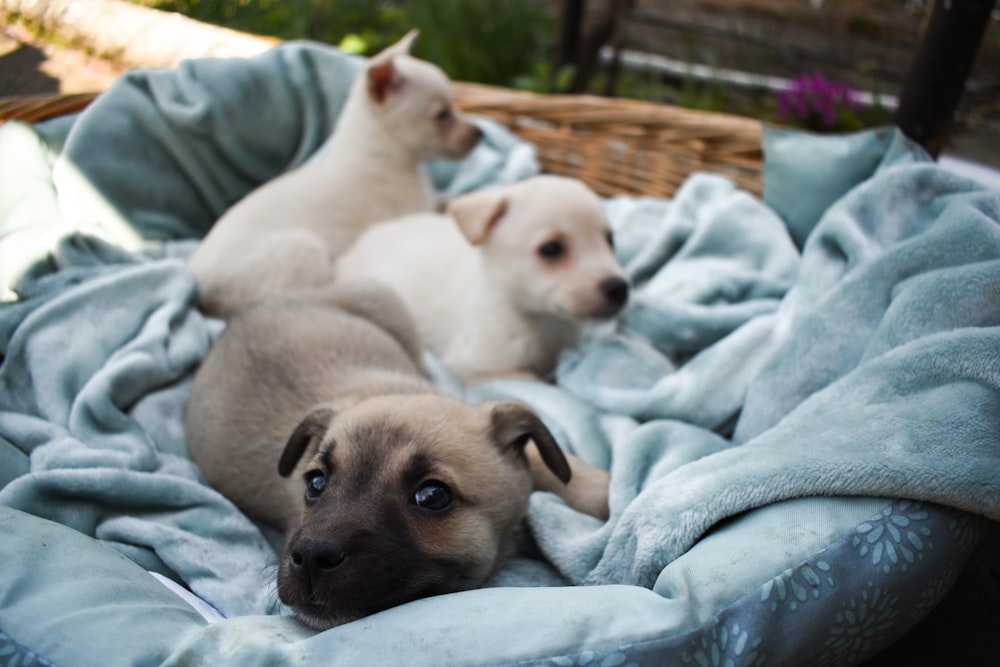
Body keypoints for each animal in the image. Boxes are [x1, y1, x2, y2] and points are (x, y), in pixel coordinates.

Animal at [191, 32, 484, 320]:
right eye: (442, 115)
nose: (480, 133)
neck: (382, 154)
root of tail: (198, 285)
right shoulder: (409, 217)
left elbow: (447, 199)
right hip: (303, 249)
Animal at [336, 175, 632, 384]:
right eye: (551, 249)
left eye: (610, 240)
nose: (620, 288)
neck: (542, 322)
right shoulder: (476, 366)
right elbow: (533, 380)